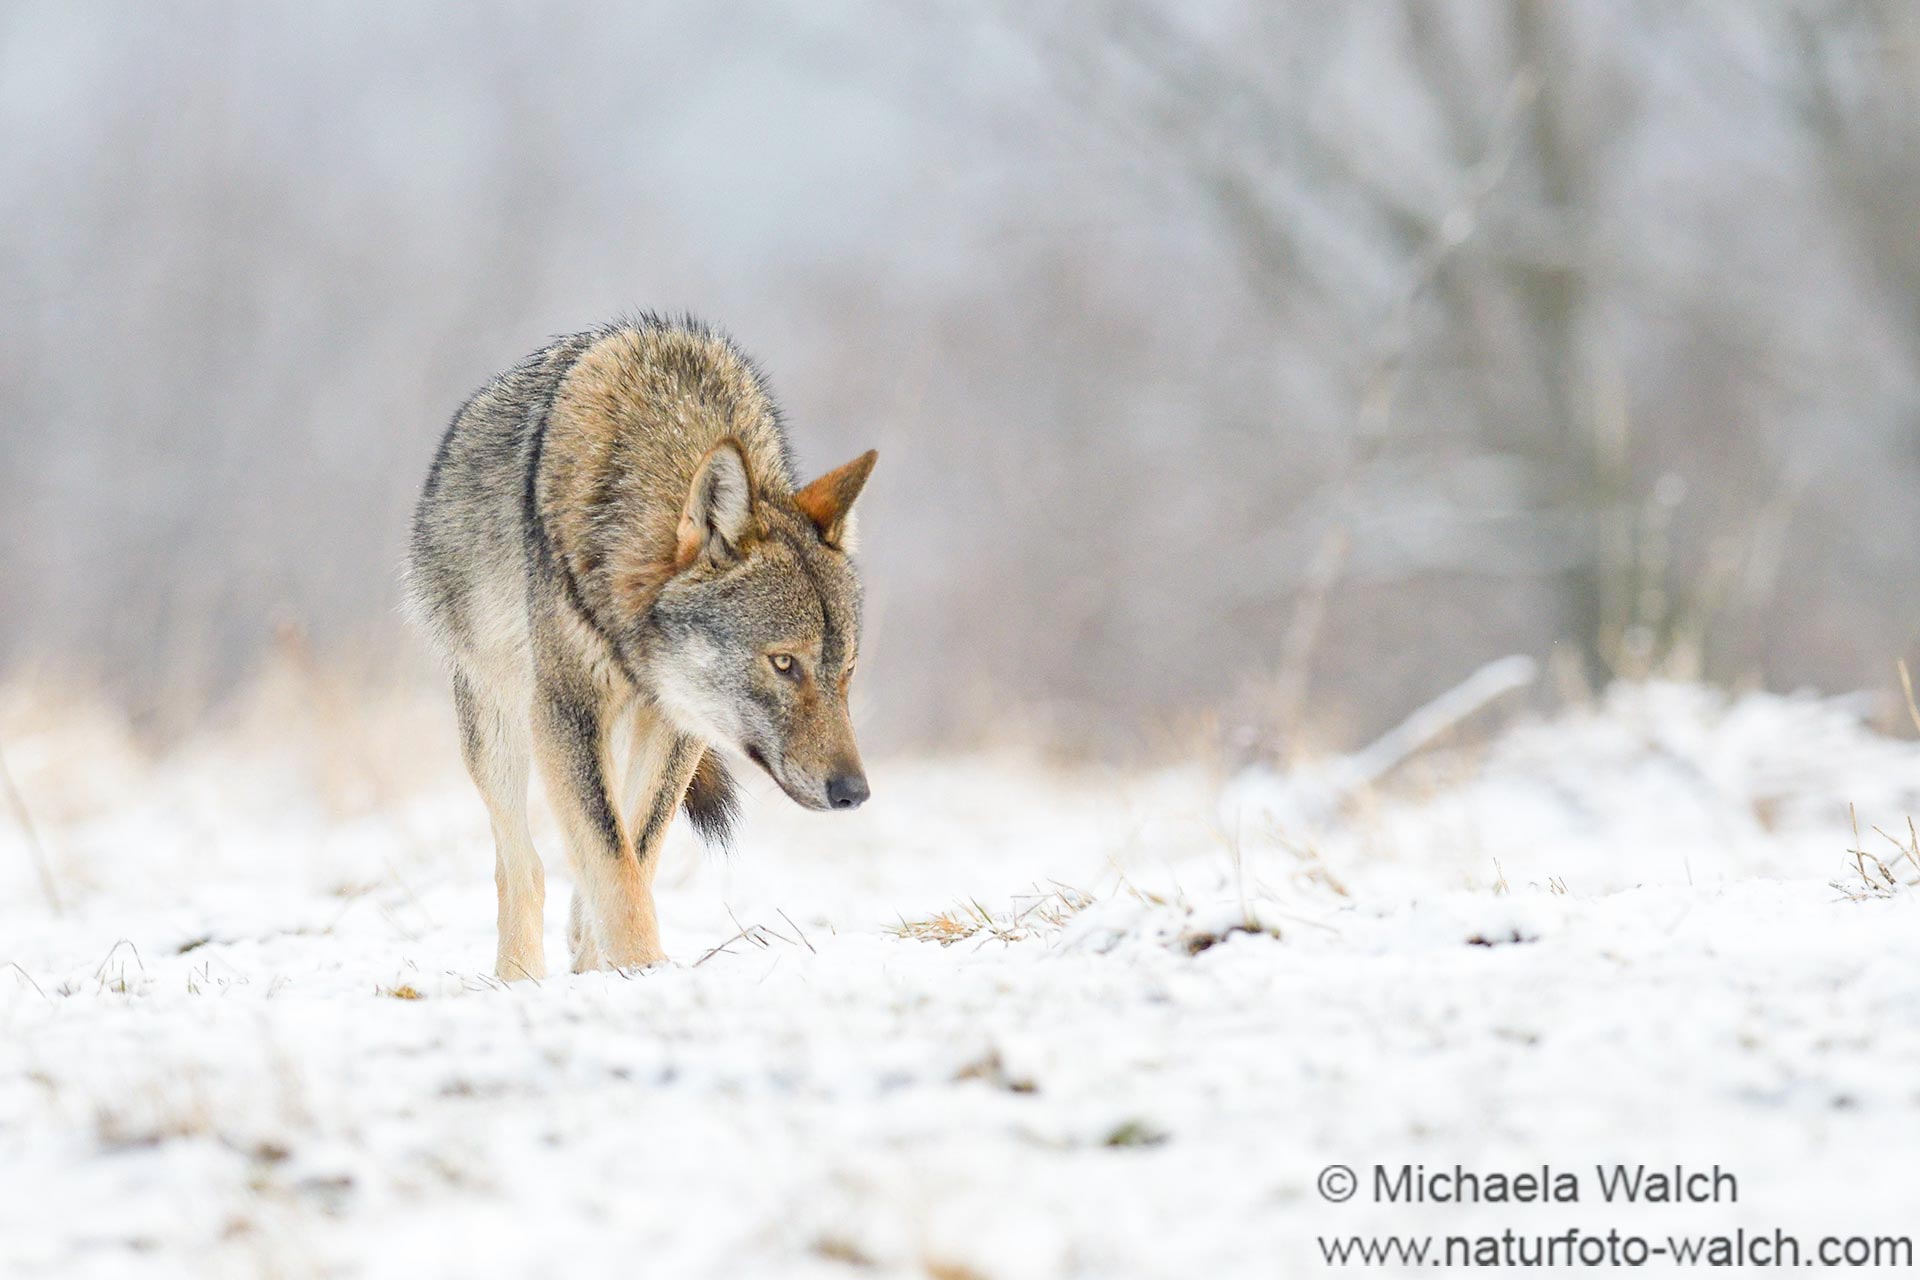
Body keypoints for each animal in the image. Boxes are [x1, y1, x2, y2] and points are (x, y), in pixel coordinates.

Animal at [405, 316, 876, 981]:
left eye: (846, 670)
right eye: (784, 663)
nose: (853, 793)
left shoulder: (677, 724)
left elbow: (636, 843)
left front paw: (614, 969)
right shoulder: (566, 711)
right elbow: (610, 854)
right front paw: (644, 970)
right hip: (495, 721)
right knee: (520, 867)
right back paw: (519, 980)